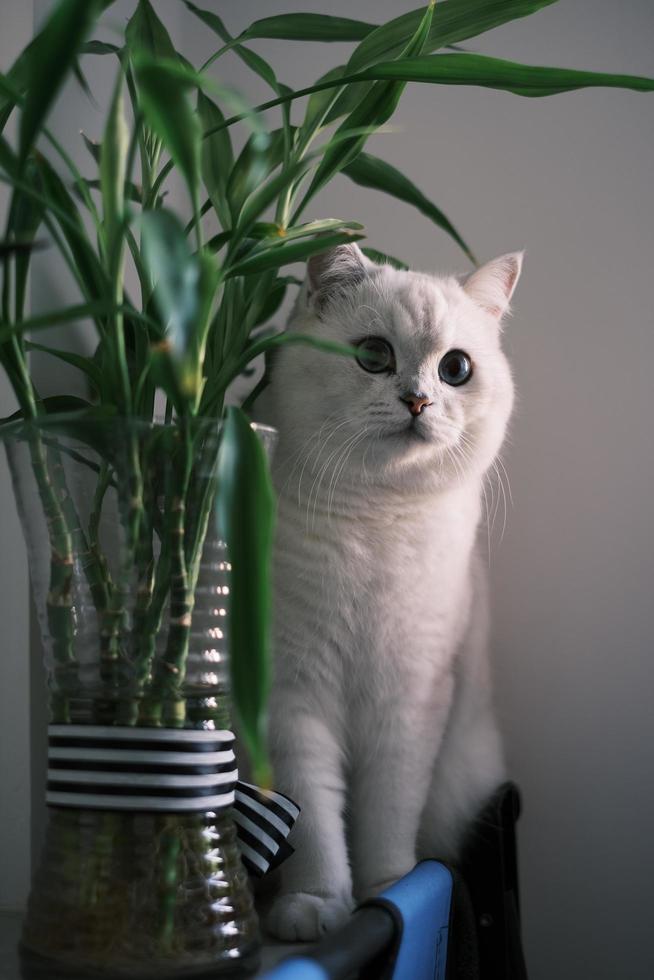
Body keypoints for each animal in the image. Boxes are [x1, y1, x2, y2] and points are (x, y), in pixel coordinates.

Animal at [256, 245, 524, 940]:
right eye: (375, 356)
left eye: (455, 369)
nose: (418, 401)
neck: (377, 522)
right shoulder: (293, 699)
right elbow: (314, 821)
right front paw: (319, 906)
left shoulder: (411, 697)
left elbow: (387, 814)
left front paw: (388, 892)